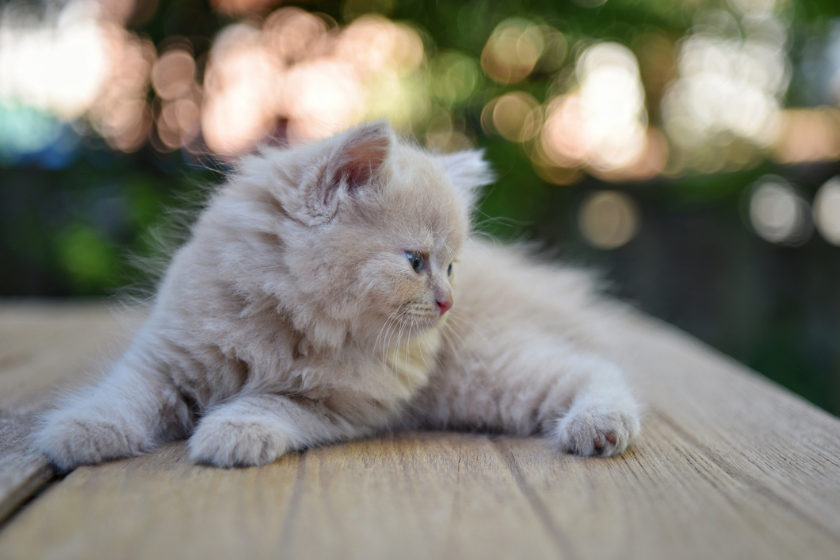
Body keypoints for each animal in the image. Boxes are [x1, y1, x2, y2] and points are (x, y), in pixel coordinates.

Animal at [31, 121, 636, 468]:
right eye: (416, 262)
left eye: (451, 267)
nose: (447, 302)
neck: (289, 323)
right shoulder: (166, 359)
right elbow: (123, 395)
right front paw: (81, 431)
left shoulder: (333, 406)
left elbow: (267, 402)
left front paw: (231, 435)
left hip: (486, 374)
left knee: (596, 369)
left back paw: (600, 428)